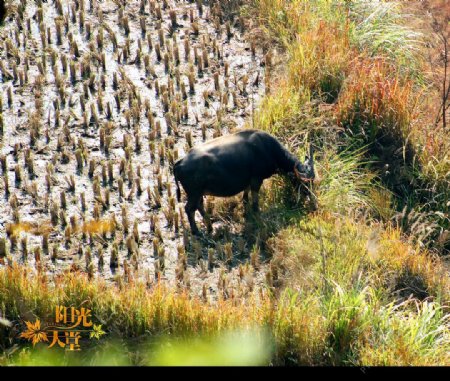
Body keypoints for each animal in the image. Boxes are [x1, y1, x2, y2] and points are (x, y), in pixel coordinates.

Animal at [174, 129, 314, 233]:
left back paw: (209, 226)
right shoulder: (256, 180)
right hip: (194, 193)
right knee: (189, 209)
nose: (312, 200)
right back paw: (196, 231)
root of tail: (180, 163)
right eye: (304, 182)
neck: (269, 150)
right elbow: (255, 203)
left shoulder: (248, 181)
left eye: (312, 182)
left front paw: (246, 212)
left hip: (199, 193)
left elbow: (245, 198)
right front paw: (257, 215)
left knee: (199, 206)